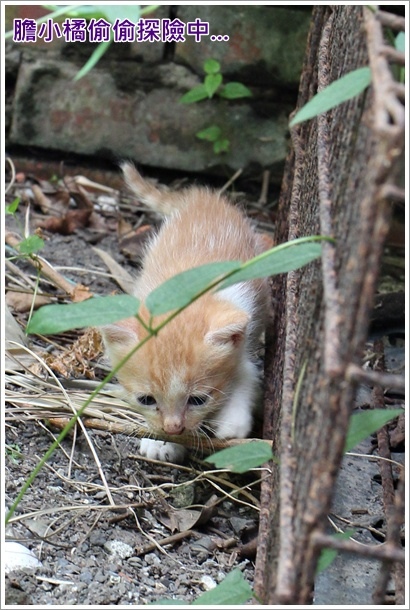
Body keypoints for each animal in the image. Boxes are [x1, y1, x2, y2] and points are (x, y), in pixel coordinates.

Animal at [101, 163, 270, 460]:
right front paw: (161, 444)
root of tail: (202, 197)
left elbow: (247, 376)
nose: (173, 427)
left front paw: (232, 423)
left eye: (197, 400)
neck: (186, 296)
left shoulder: (243, 335)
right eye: (146, 399)